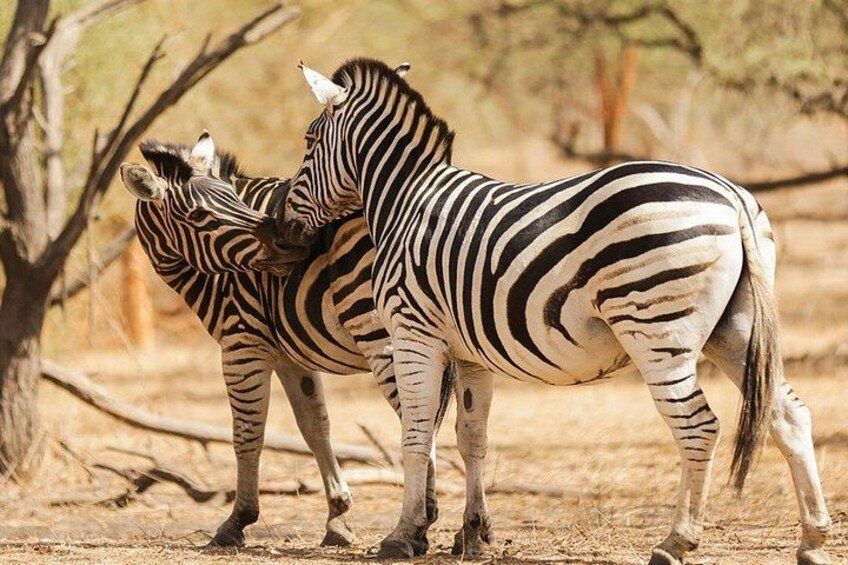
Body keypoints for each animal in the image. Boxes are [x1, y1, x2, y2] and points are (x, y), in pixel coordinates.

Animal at [118, 131, 451, 550]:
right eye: (197, 216)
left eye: (235, 199)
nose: (292, 243)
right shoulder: (289, 354)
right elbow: (315, 426)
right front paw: (338, 516)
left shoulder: (243, 342)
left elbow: (247, 434)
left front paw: (237, 522)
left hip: (383, 334)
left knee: (417, 420)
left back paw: (415, 526)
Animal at [275, 58, 832, 565]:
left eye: (308, 141)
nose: (281, 231)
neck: (405, 200)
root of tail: (733, 196)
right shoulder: (470, 351)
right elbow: (470, 438)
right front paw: (474, 534)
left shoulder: (413, 333)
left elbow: (416, 435)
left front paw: (403, 535)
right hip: (735, 330)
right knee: (789, 415)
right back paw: (812, 539)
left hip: (657, 329)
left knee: (698, 427)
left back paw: (676, 542)